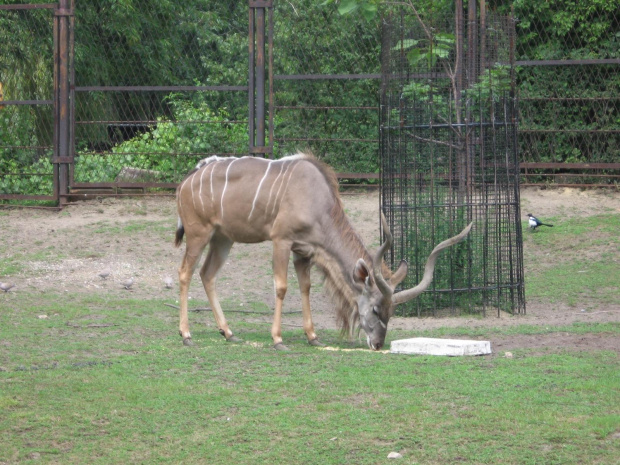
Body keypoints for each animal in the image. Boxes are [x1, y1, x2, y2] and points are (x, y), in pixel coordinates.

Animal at [172, 154, 472, 350]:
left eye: (391, 312)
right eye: (376, 309)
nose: (377, 344)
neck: (315, 199)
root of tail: (186, 182)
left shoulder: (303, 250)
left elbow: (305, 287)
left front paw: (312, 336)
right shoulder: (281, 240)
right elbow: (282, 287)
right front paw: (278, 339)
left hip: (223, 238)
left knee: (207, 274)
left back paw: (228, 332)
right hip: (199, 234)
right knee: (185, 272)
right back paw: (186, 335)